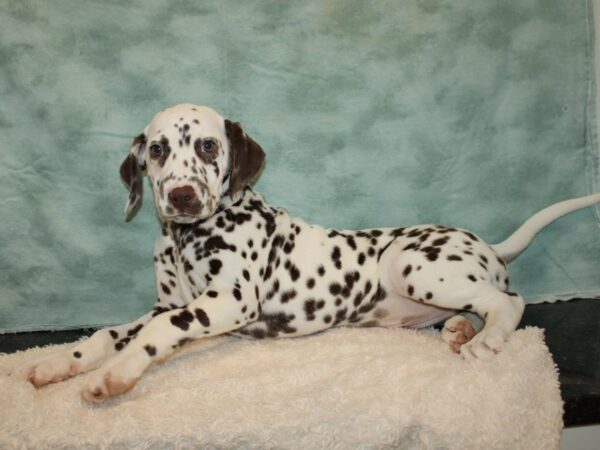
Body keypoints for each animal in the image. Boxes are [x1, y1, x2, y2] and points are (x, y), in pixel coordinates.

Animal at [15, 103, 600, 402]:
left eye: (207, 145)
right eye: (157, 150)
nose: (181, 196)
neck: (188, 238)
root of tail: (486, 244)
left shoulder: (226, 301)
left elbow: (158, 333)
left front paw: (115, 375)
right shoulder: (170, 302)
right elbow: (106, 334)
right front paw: (60, 364)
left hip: (410, 261)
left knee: (509, 301)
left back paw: (487, 340)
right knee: (481, 303)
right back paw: (459, 329)